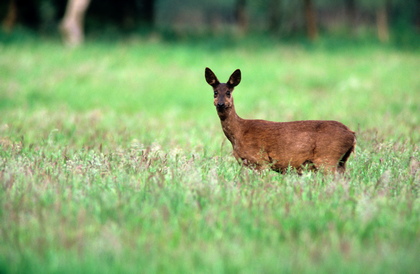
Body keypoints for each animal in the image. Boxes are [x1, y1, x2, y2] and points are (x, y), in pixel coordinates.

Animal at [203, 67, 354, 173]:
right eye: (215, 92)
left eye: (228, 92)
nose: (220, 104)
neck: (238, 133)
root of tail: (351, 134)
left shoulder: (261, 161)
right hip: (341, 162)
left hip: (328, 159)